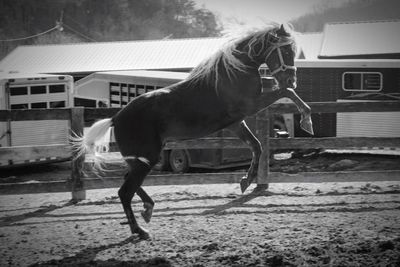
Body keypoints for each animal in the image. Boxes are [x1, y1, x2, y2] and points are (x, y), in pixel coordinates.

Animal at [73, 23, 314, 241]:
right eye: (285, 51)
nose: (291, 78)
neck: (234, 73)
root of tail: (116, 118)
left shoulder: (236, 123)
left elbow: (257, 146)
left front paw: (246, 180)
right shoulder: (250, 106)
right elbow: (286, 92)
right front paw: (307, 121)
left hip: (140, 159)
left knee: (128, 183)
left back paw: (148, 209)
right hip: (147, 157)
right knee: (125, 191)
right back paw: (140, 230)